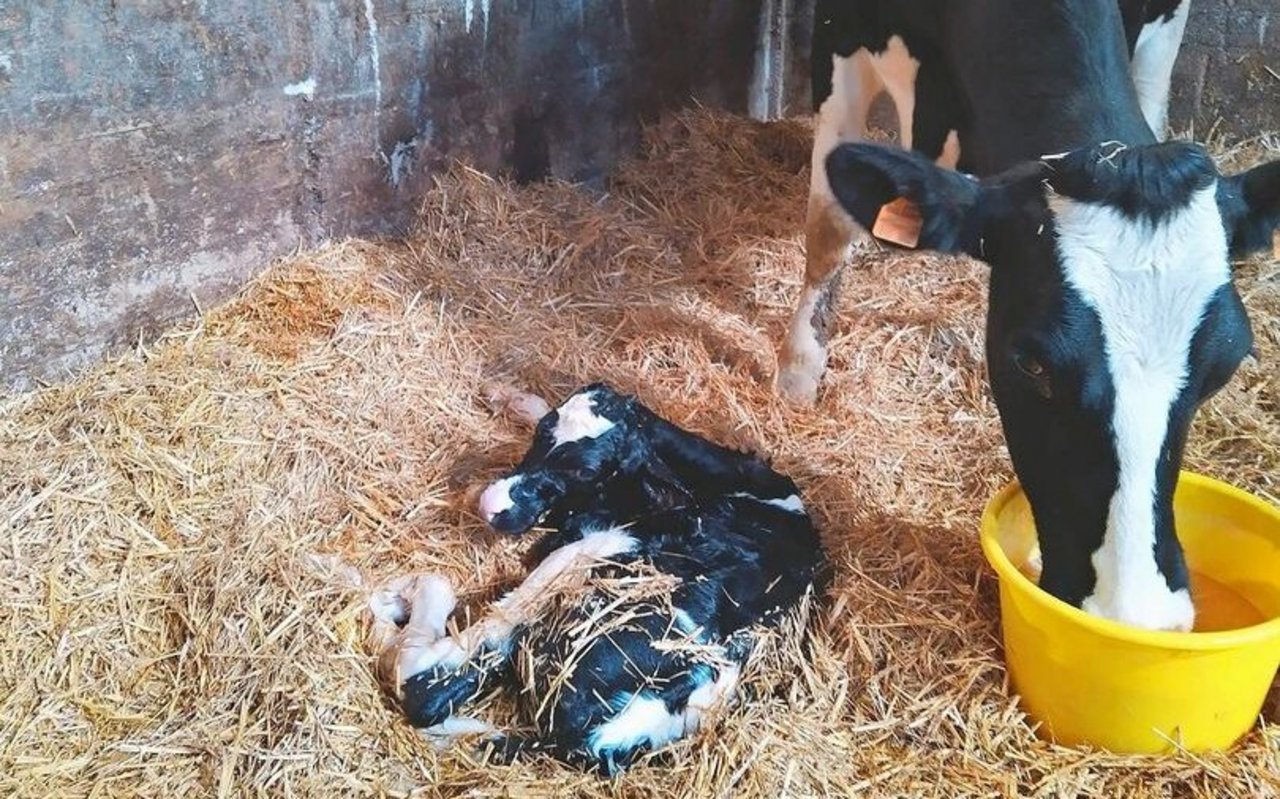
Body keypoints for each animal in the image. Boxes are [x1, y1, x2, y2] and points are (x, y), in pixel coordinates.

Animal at [384, 386, 824, 773]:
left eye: (585, 470)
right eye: (544, 429)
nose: (491, 505)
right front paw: (511, 398)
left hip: (591, 572)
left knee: (430, 681)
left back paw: (399, 602)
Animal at [768, 0, 1280, 629]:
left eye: (1225, 367)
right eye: (1031, 363)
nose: (1137, 614)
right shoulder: (842, 31)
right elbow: (830, 226)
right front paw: (798, 373)